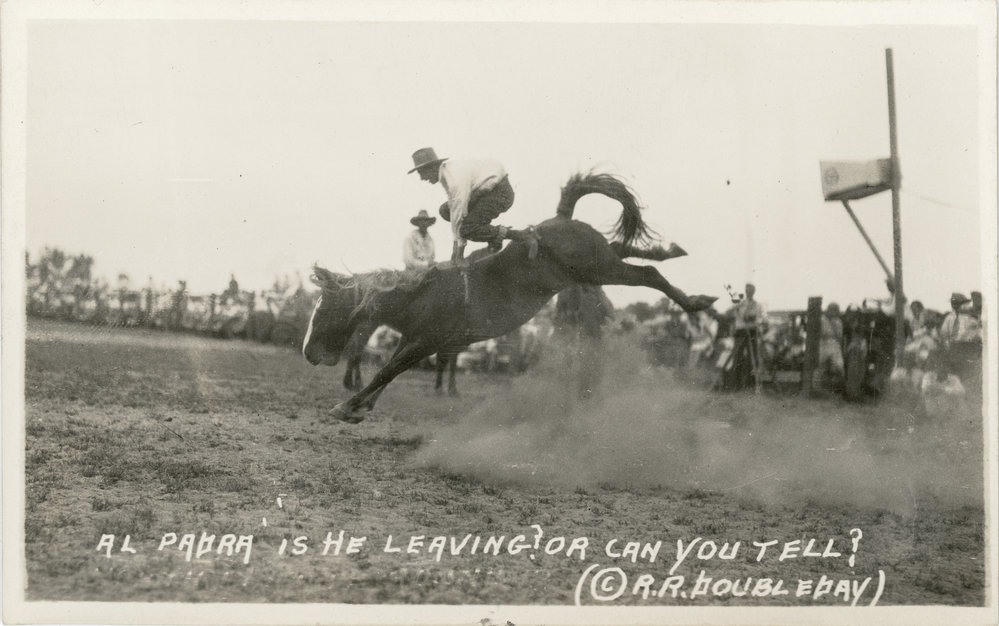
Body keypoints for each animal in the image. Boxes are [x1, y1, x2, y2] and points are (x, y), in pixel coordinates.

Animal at [300, 172, 716, 424]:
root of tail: (560, 218)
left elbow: (388, 370)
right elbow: (389, 370)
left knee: (647, 275)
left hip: (599, 269)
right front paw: (360, 406)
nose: (308, 353)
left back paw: (697, 301)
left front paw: (346, 406)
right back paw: (671, 252)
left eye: (326, 308)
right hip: (596, 266)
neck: (422, 293)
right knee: (625, 249)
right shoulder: (415, 339)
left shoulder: (428, 340)